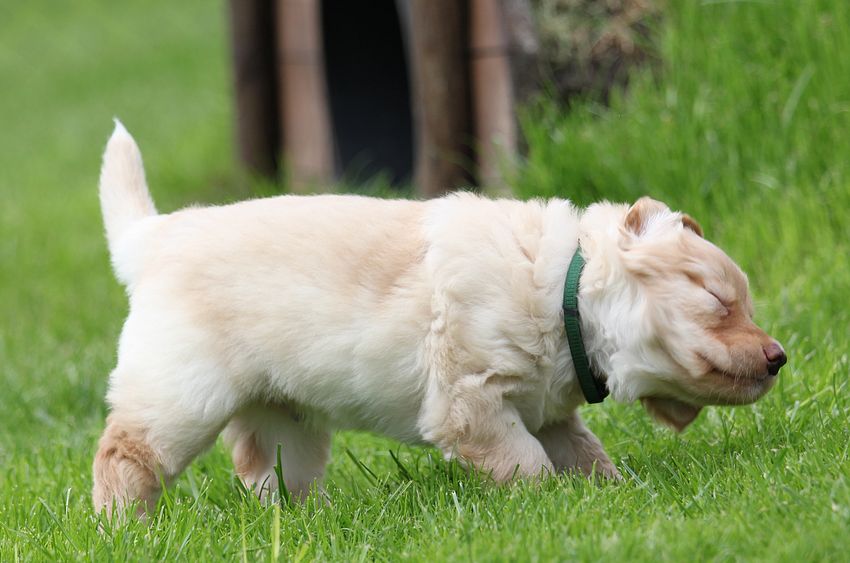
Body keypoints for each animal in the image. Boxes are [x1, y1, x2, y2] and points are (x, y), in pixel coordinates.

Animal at [92, 122, 786, 517]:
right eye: (717, 299)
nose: (780, 357)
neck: (564, 296)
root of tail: (152, 237)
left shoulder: (549, 410)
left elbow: (585, 454)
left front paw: (608, 496)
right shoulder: (471, 399)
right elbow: (527, 464)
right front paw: (552, 507)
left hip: (284, 413)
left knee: (268, 470)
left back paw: (311, 522)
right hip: (182, 393)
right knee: (125, 452)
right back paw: (124, 529)